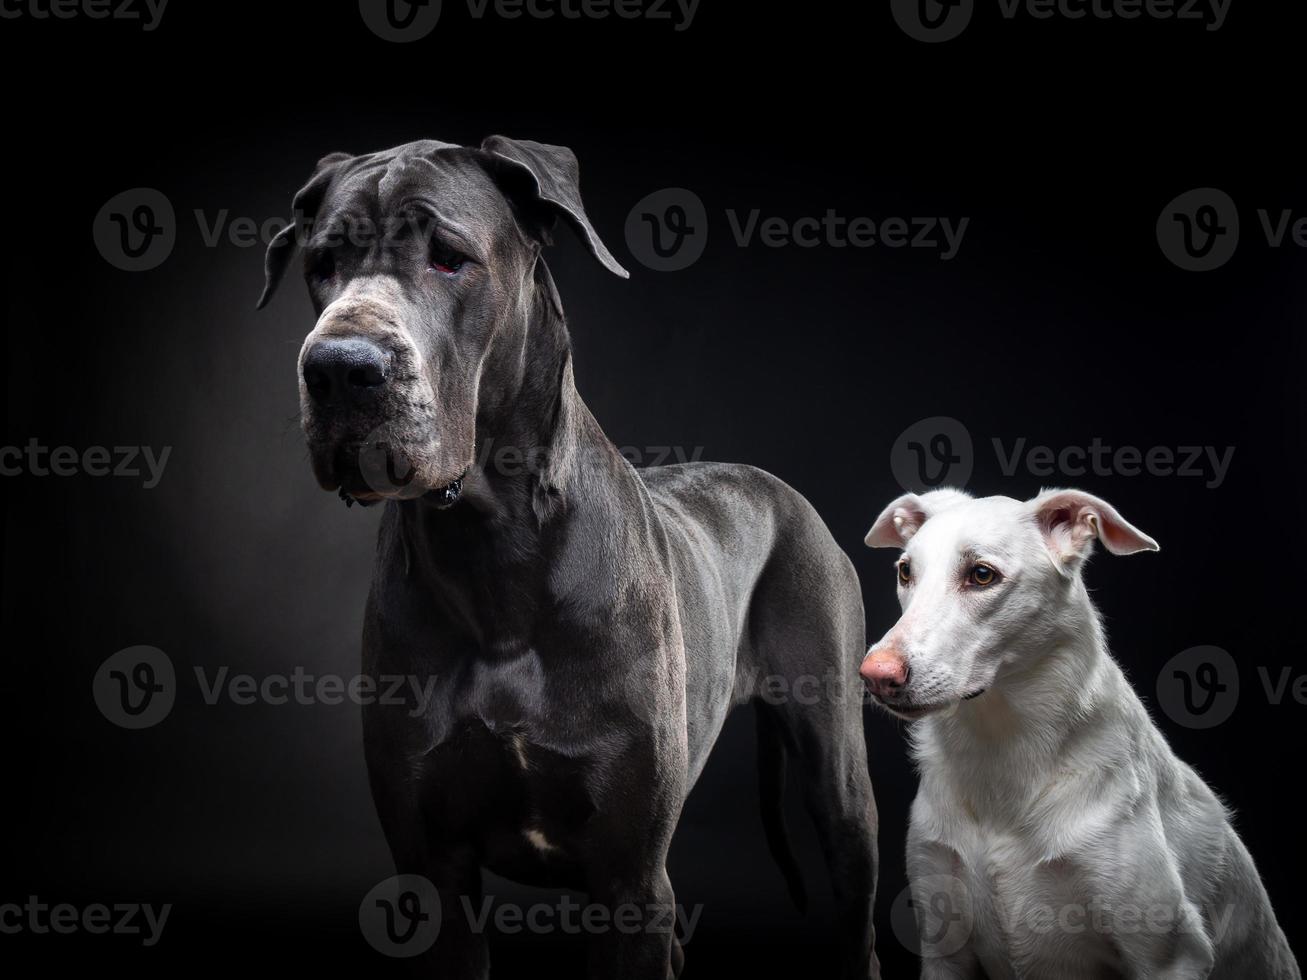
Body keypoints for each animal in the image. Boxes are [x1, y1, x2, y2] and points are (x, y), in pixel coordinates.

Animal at [857, 488, 1296, 977]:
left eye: (982, 574)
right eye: (905, 571)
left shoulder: (1169, 954)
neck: (1000, 750)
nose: (875, 676)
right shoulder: (944, 950)